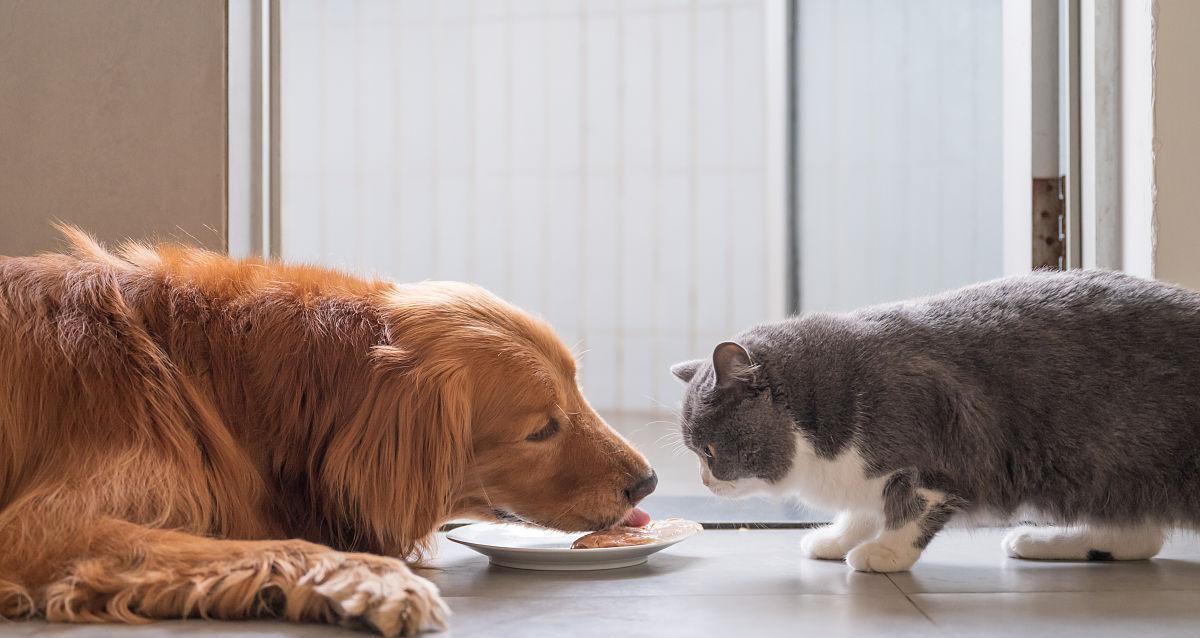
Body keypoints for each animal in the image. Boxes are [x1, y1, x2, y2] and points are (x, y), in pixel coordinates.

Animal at [0, 227, 657, 633]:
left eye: (578, 391)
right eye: (541, 430)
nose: (647, 483)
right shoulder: (41, 524)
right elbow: (280, 545)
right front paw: (376, 581)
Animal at [672, 268, 1200, 573]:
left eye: (709, 450)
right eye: (696, 453)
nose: (705, 480)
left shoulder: (938, 458)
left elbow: (910, 510)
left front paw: (883, 553)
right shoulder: (866, 473)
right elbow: (863, 509)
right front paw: (837, 538)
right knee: (1140, 535)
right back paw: (1040, 540)